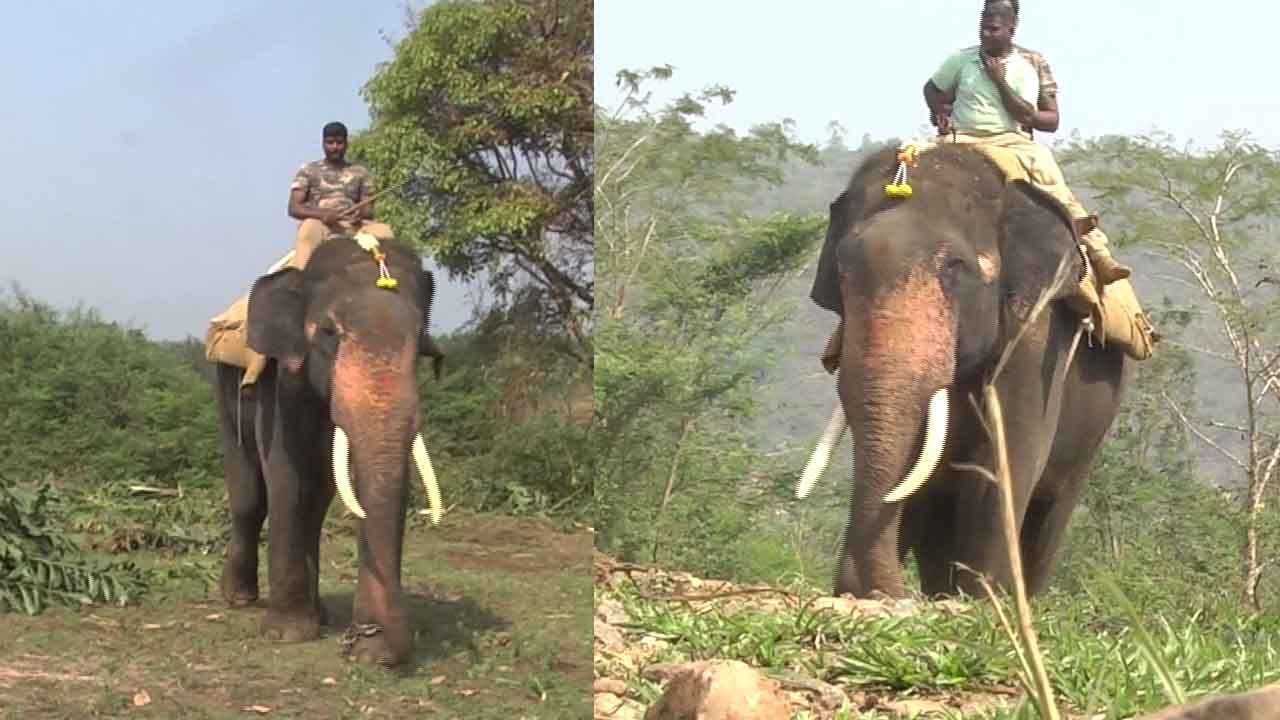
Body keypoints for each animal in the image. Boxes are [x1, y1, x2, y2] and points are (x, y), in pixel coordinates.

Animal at [212, 233, 448, 666]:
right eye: (328, 332)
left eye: (421, 339)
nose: (364, 639)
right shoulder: (280, 378)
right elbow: (285, 477)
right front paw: (288, 634)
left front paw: (369, 652)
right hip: (224, 386)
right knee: (250, 496)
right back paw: (240, 599)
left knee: (316, 502)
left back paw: (318, 613)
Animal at [798, 142, 1131, 597]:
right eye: (842, 266)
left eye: (954, 267)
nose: (877, 591)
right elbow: (915, 467)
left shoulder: (1037, 338)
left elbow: (1000, 464)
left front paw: (983, 601)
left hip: (1094, 428)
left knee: (1049, 514)